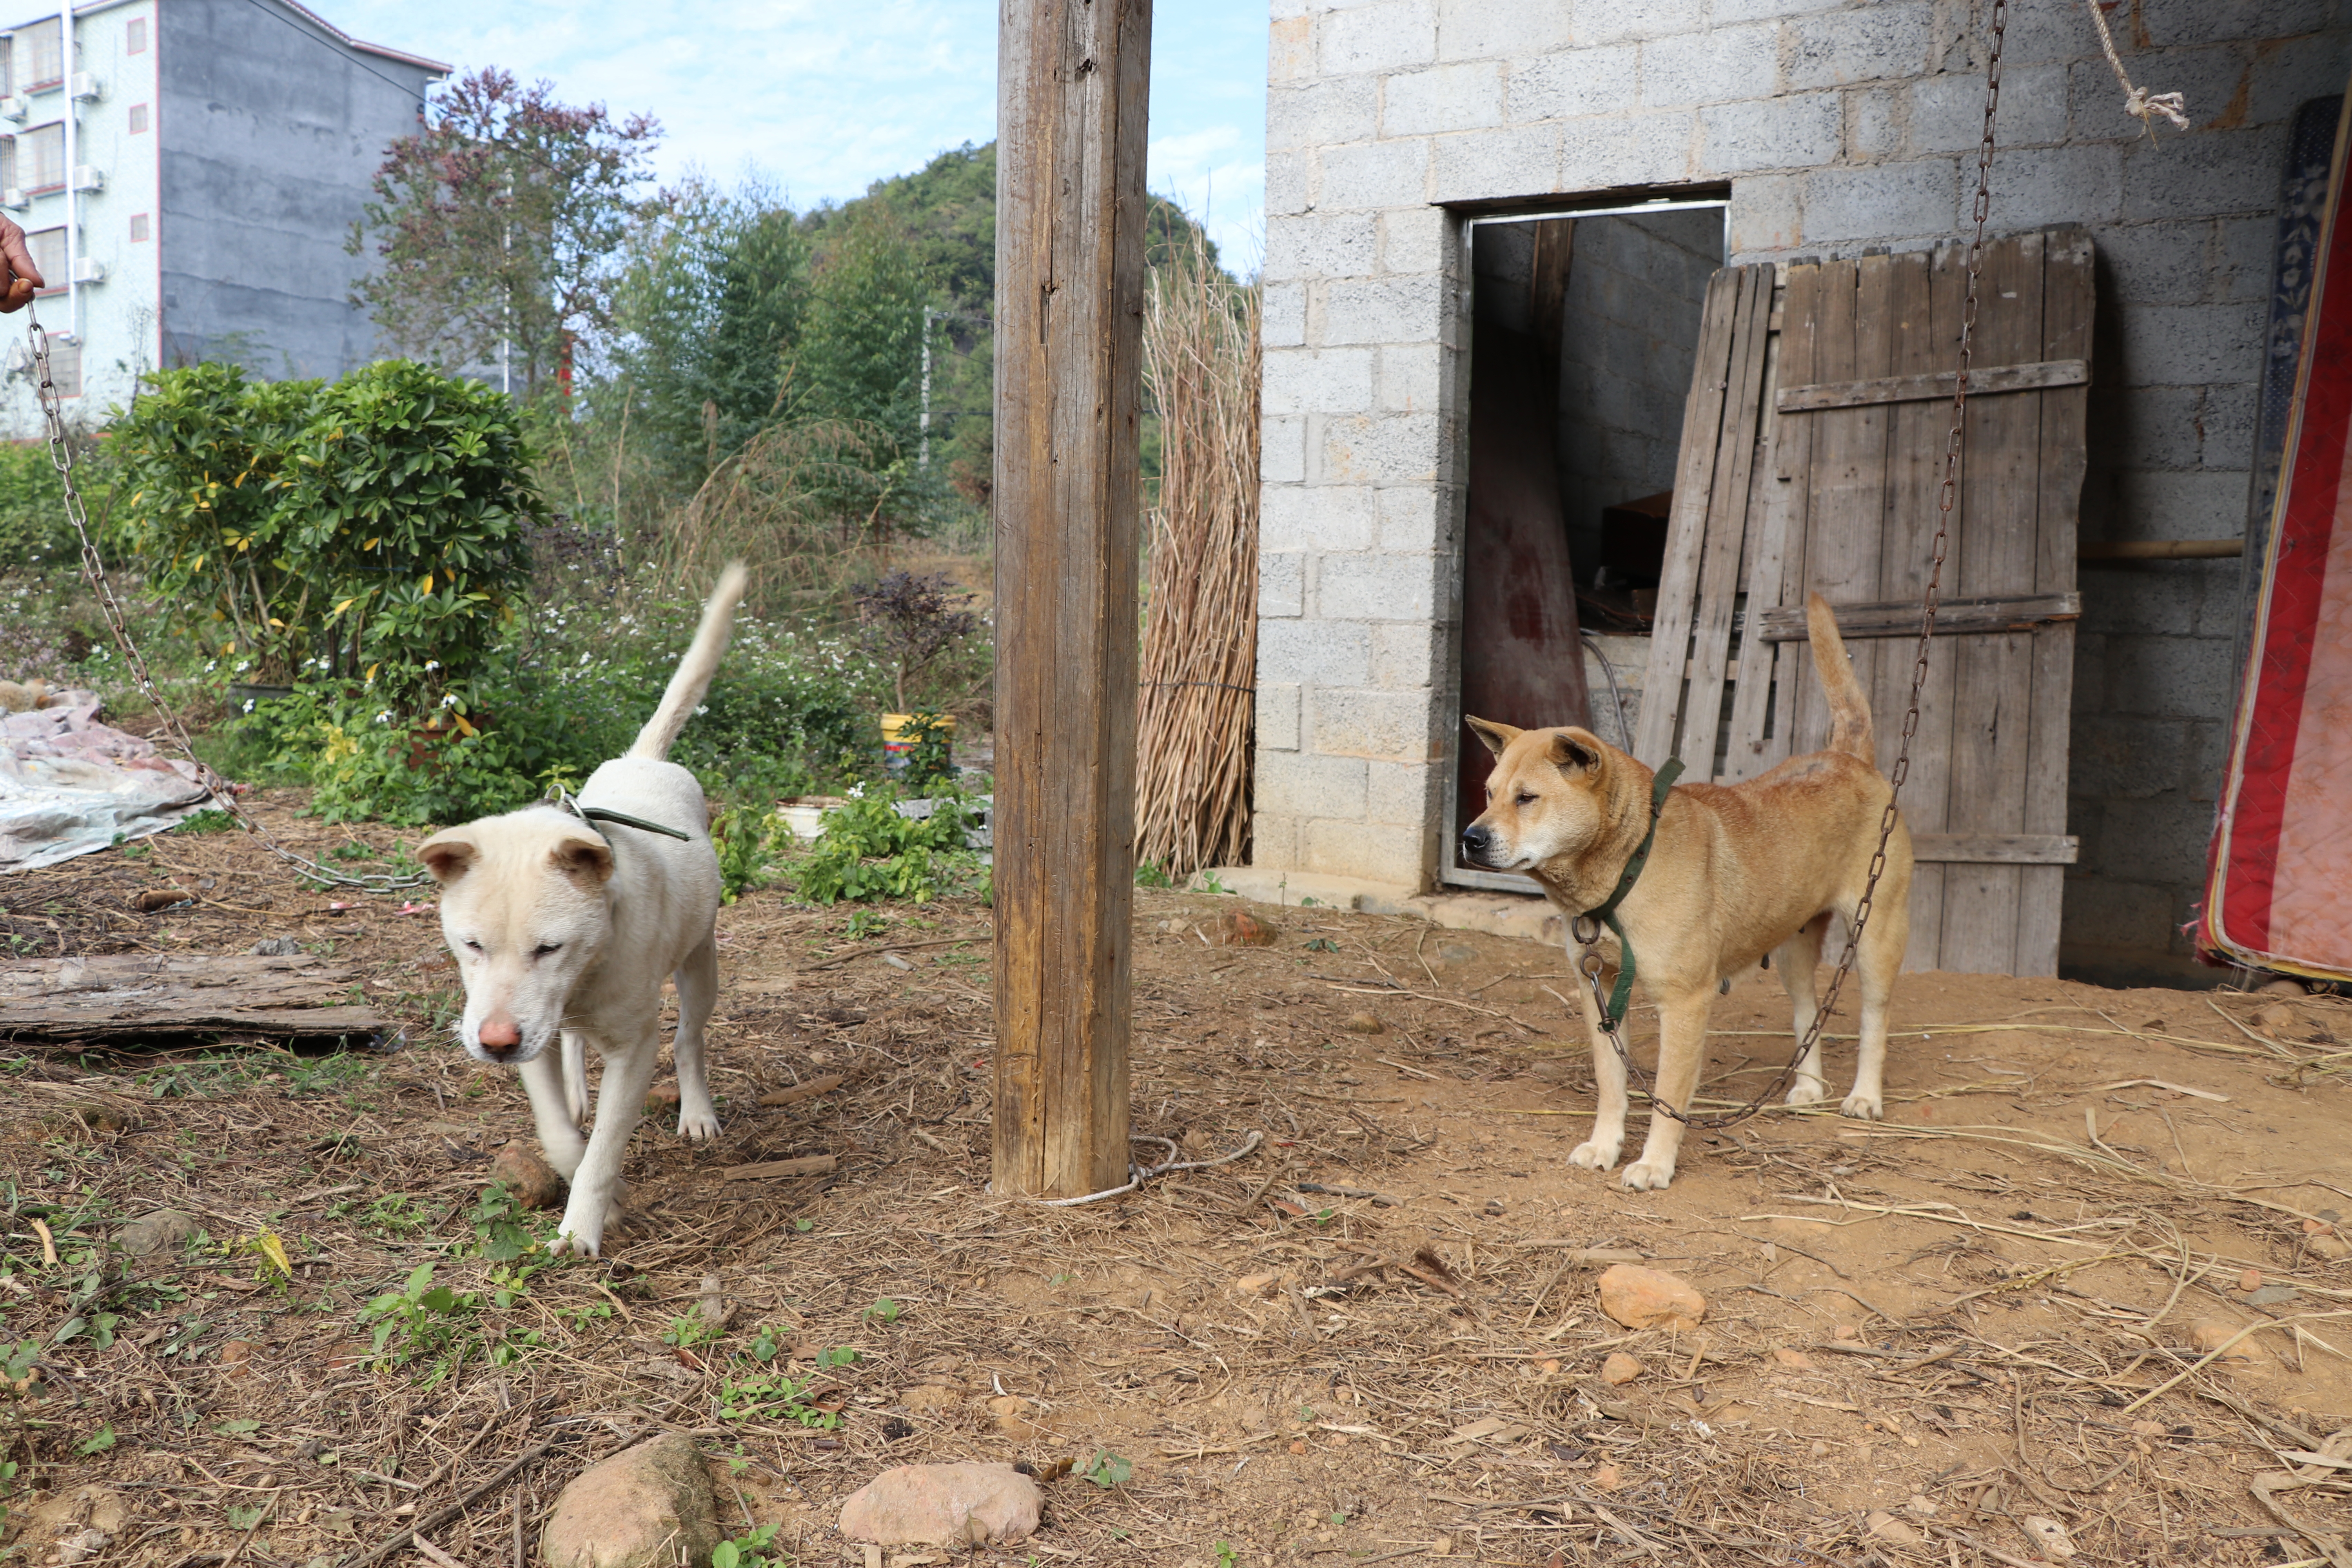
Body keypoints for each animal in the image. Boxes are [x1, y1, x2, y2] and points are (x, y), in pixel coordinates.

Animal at [421, 564, 743, 1260]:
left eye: (550, 948)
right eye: (471, 945)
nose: (495, 1045)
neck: (587, 971)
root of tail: (646, 759)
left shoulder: (632, 1050)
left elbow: (603, 1149)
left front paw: (582, 1229)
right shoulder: (532, 1044)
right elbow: (558, 1135)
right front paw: (594, 1184)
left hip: (701, 962)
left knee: (689, 1038)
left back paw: (697, 1112)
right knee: (571, 1051)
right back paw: (576, 1092)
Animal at [1468, 592, 1910, 1189]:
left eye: (1527, 798)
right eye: (1489, 794)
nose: (1469, 838)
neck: (1630, 865)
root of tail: (1850, 758)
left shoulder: (1684, 1003)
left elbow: (1668, 1097)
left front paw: (1655, 1164)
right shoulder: (1597, 990)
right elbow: (1612, 1085)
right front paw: (1604, 1146)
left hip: (1877, 936)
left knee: (1874, 1019)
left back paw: (1864, 1097)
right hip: (1793, 947)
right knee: (1807, 1012)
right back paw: (1808, 1088)